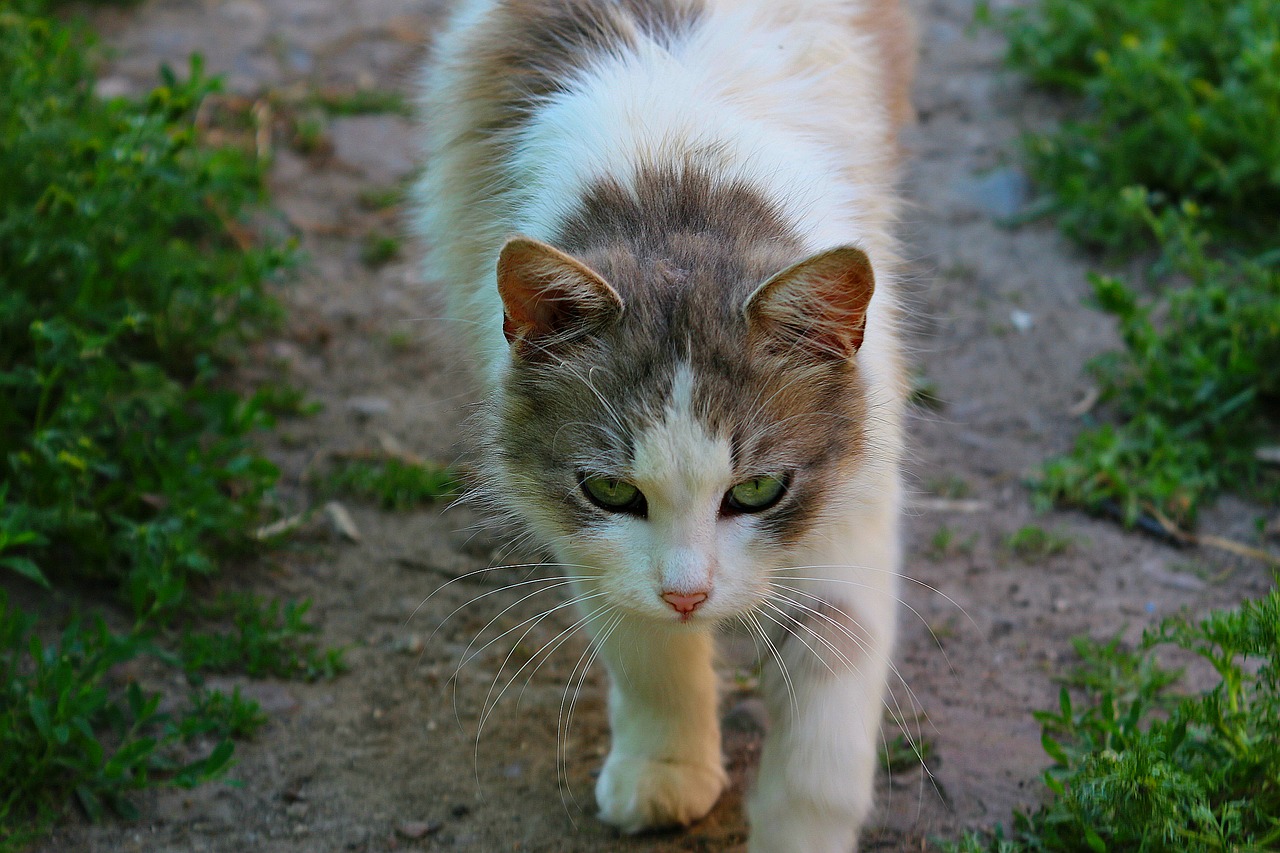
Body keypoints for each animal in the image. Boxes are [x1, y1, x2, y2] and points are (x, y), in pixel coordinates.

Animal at [414, 1, 916, 850]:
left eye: (758, 489)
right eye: (614, 490)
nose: (690, 595)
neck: (677, 180)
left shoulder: (851, 508)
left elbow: (822, 734)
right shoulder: (587, 535)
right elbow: (646, 652)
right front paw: (665, 768)